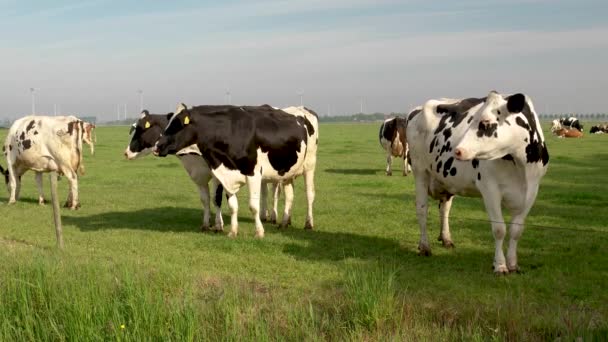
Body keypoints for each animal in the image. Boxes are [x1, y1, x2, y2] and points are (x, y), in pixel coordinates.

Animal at [154, 103, 320, 239]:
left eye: (178, 125)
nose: (157, 146)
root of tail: (302, 108)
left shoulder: (253, 174)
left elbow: (253, 206)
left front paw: (259, 232)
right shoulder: (226, 174)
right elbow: (231, 205)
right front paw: (232, 231)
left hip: (310, 165)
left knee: (310, 194)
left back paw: (309, 224)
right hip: (288, 171)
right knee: (289, 195)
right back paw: (284, 222)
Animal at [406, 91, 548, 276]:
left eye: (485, 122)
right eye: (472, 119)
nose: (457, 150)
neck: (520, 164)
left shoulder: (532, 191)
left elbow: (516, 230)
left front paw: (513, 264)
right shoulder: (490, 188)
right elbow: (499, 229)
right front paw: (500, 266)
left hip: (446, 180)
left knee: (445, 209)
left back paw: (446, 239)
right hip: (420, 170)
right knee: (422, 210)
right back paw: (424, 247)